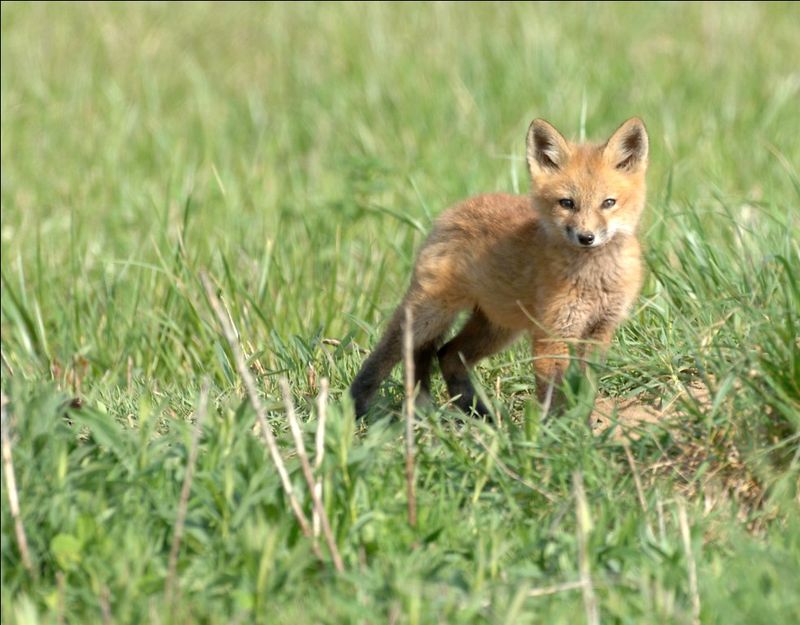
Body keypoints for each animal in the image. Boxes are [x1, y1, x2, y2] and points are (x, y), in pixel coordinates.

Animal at [350, 117, 648, 419]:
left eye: (608, 203)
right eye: (567, 203)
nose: (586, 237)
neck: (594, 279)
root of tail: (457, 208)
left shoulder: (600, 330)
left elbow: (585, 391)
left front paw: (581, 425)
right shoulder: (552, 332)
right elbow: (553, 395)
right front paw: (555, 428)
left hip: (497, 327)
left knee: (447, 355)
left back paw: (481, 415)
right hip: (430, 314)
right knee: (389, 353)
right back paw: (357, 407)